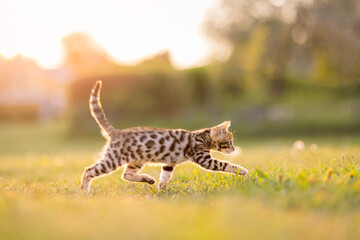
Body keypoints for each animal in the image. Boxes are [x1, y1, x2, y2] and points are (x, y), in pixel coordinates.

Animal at [80, 81, 249, 192]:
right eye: (229, 142)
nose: (234, 149)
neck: (201, 137)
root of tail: (116, 132)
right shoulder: (204, 159)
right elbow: (225, 165)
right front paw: (242, 171)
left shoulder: (169, 163)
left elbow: (165, 176)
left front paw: (161, 190)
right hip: (113, 159)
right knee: (89, 171)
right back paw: (84, 192)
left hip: (136, 160)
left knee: (126, 174)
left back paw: (148, 179)